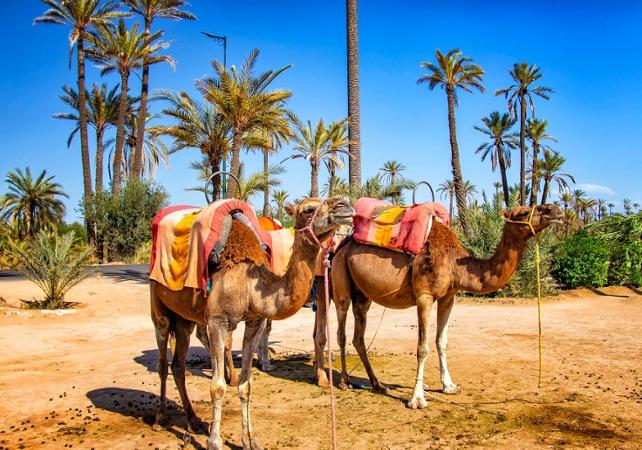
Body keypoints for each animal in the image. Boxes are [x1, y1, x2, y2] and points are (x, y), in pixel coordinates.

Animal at [150, 197, 354, 450]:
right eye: (308, 209)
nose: (345, 205)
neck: (248, 284)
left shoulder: (255, 321)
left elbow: (246, 385)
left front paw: (249, 439)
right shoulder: (218, 321)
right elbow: (217, 386)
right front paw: (215, 442)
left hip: (184, 318)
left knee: (178, 365)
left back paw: (194, 421)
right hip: (159, 305)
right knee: (162, 360)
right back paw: (161, 418)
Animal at [317, 204, 562, 409]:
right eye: (523, 212)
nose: (556, 210)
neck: (455, 263)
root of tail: (341, 245)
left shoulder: (448, 297)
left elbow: (441, 342)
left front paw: (449, 386)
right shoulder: (424, 296)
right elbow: (422, 348)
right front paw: (417, 399)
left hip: (363, 295)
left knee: (358, 337)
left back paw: (378, 384)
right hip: (341, 282)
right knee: (341, 331)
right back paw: (345, 381)